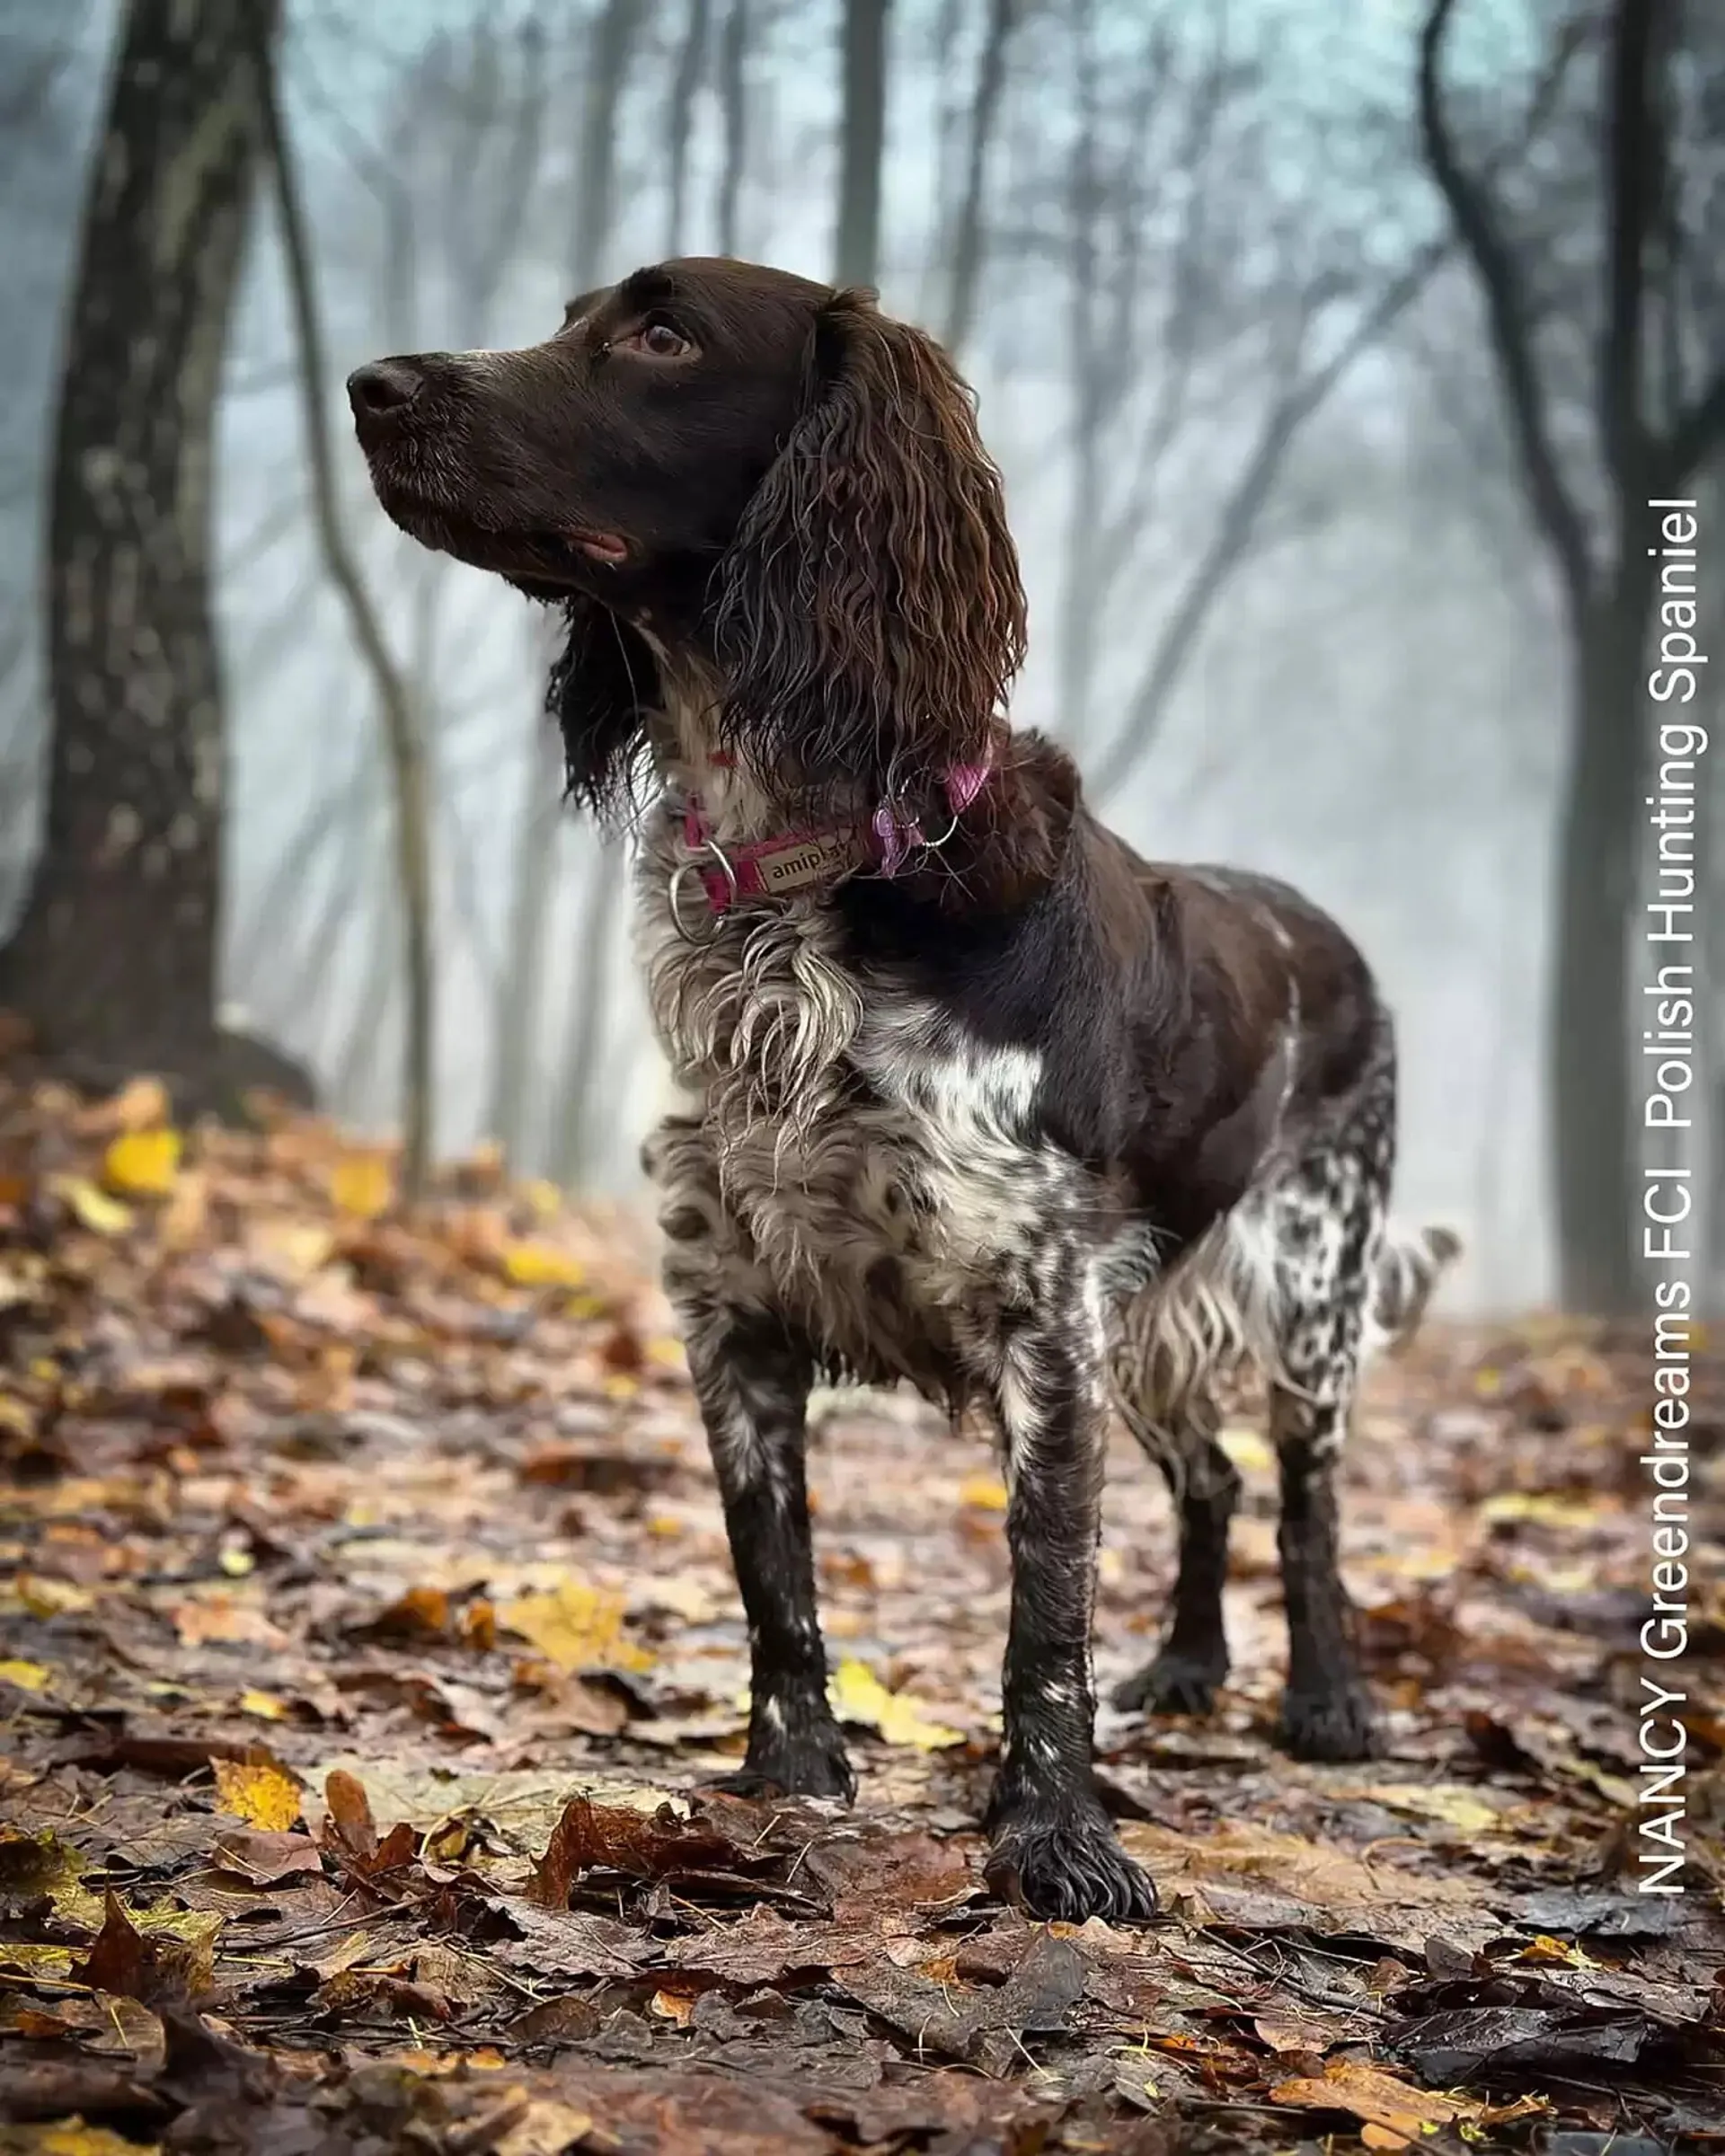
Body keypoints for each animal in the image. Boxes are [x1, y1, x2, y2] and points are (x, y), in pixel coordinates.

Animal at [349, 261, 1457, 1931]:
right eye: (574, 311)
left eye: (662, 334)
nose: (372, 385)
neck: (806, 877)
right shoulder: (733, 1311)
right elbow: (775, 1580)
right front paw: (789, 1777)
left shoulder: (1046, 1325)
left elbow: (1042, 1616)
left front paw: (1056, 1840)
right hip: (1153, 1330)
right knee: (1206, 1480)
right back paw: (1190, 1668)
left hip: (1304, 1297)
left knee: (1302, 1500)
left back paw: (1325, 1702)